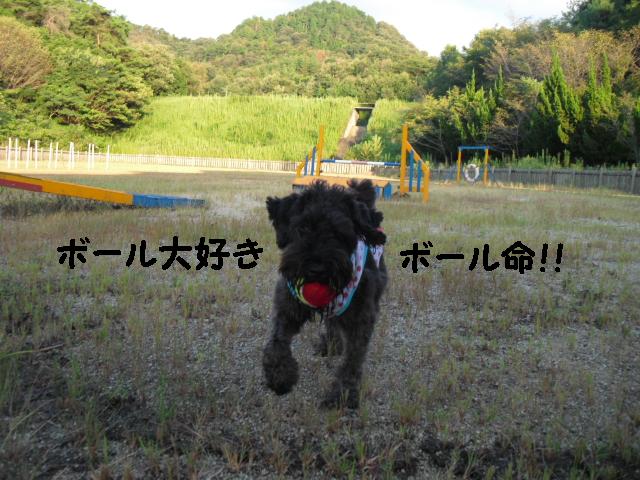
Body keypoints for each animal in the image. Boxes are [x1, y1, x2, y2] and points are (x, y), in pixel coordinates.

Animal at [262, 179, 387, 408]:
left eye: (340, 233)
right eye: (303, 227)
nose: (316, 269)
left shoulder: (361, 320)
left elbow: (352, 360)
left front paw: (343, 394)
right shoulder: (287, 307)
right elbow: (276, 343)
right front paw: (280, 378)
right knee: (331, 322)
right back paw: (329, 345)